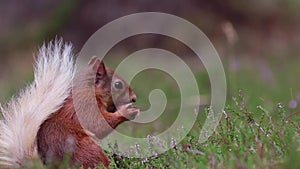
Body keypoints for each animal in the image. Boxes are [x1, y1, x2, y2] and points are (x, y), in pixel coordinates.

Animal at [0, 40, 140, 168]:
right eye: (118, 85)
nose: (134, 98)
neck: (91, 91)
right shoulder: (86, 105)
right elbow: (98, 124)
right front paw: (127, 111)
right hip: (86, 149)